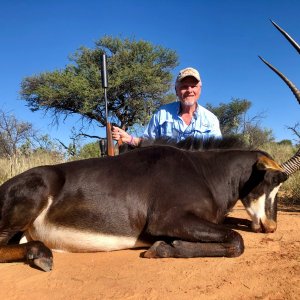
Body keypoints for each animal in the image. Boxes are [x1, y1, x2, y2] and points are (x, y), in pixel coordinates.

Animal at [0, 19, 298, 270]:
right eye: (270, 181)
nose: (271, 226)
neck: (204, 171)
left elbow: (235, 228)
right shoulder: (167, 219)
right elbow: (236, 240)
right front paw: (164, 247)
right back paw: (40, 253)